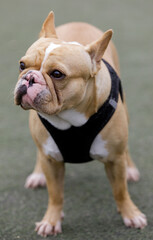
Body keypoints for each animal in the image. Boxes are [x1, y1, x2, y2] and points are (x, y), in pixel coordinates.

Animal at [14, 11, 147, 236]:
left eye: (57, 74)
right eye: (22, 65)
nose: (29, 78)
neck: (68, 117)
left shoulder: (115, 160)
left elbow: (120, 191)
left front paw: (131, 214)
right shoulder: (52, 162)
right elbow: (55, 195)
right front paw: (51, 220)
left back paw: (130, 170)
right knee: (39, 153)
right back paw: (38, 174)